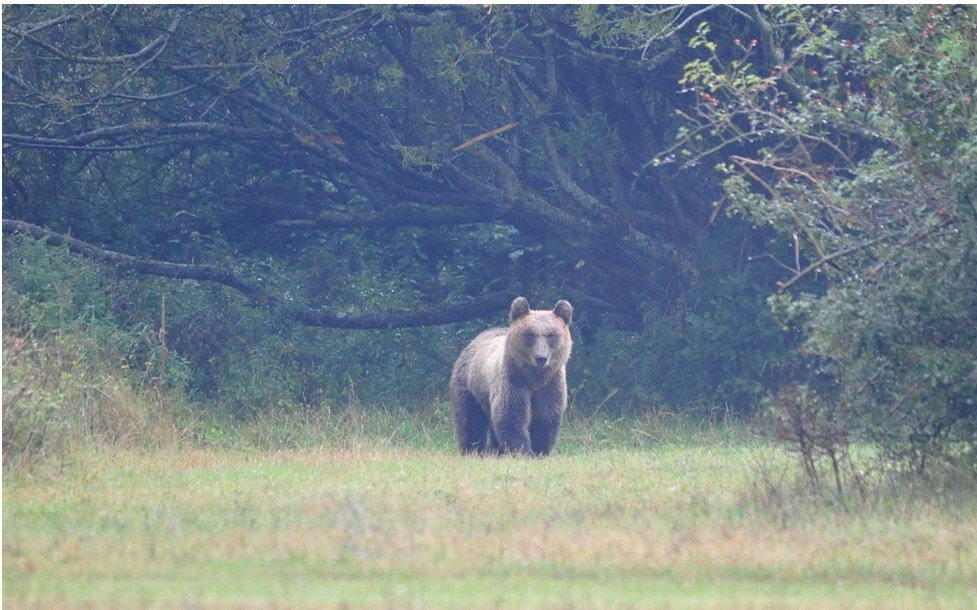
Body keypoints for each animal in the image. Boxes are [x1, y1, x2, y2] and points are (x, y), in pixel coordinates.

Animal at [450, 296, 573, 456]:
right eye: (530, 334)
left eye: (551, 335)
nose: (541, 358)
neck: (534, 377)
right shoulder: (513, 379)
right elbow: (511, 414)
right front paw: (524, 451)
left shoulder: (551, 383)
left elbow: (545, 416)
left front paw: (539, 450)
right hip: (469, 385)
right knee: (471, 420)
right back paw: (472, 450)